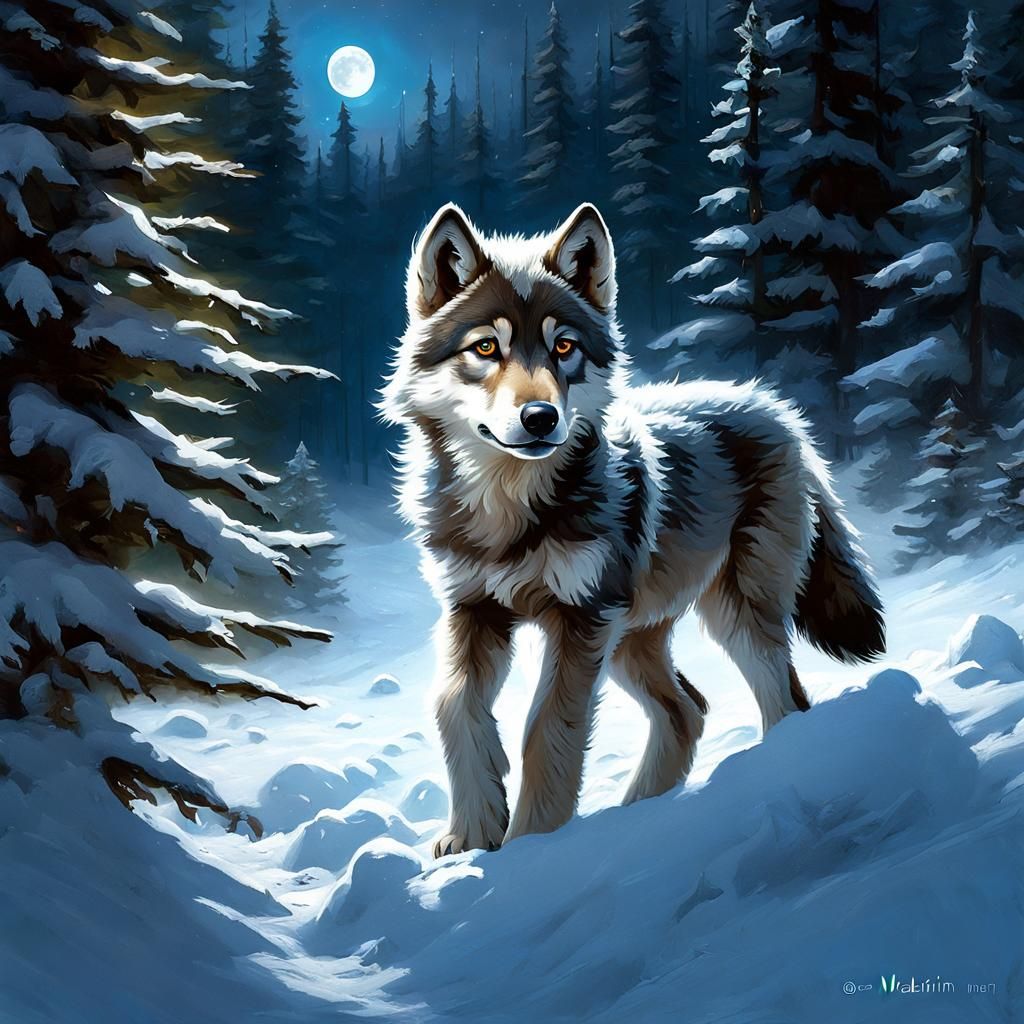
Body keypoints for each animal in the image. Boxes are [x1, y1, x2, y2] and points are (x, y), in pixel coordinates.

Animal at [382, 202, 885, 858]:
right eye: (486, 347)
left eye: (563, 347)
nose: (540, 418)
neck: (510, 511)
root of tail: (777, 409)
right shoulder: (473, 608)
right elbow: (449, 703)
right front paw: (471, 833)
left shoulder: (581, 619)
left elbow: (548, 729)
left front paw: (532, 844)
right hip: (631, 637)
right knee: (688, 709)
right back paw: (636, 816)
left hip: (728, 616)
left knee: (785, 701)